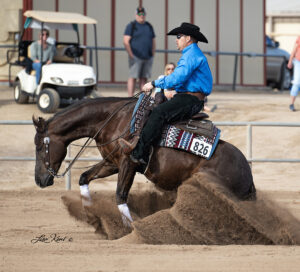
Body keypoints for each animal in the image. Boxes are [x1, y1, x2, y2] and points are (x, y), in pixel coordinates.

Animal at [34, 96, 256, 224]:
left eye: (39, 146)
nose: (39, 180)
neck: (114, 120)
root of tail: (247, 171)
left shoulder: (128, 163)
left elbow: (120, 195)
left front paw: (131, 229)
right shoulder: (111, 163)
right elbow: (84, 177)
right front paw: (91, 215)